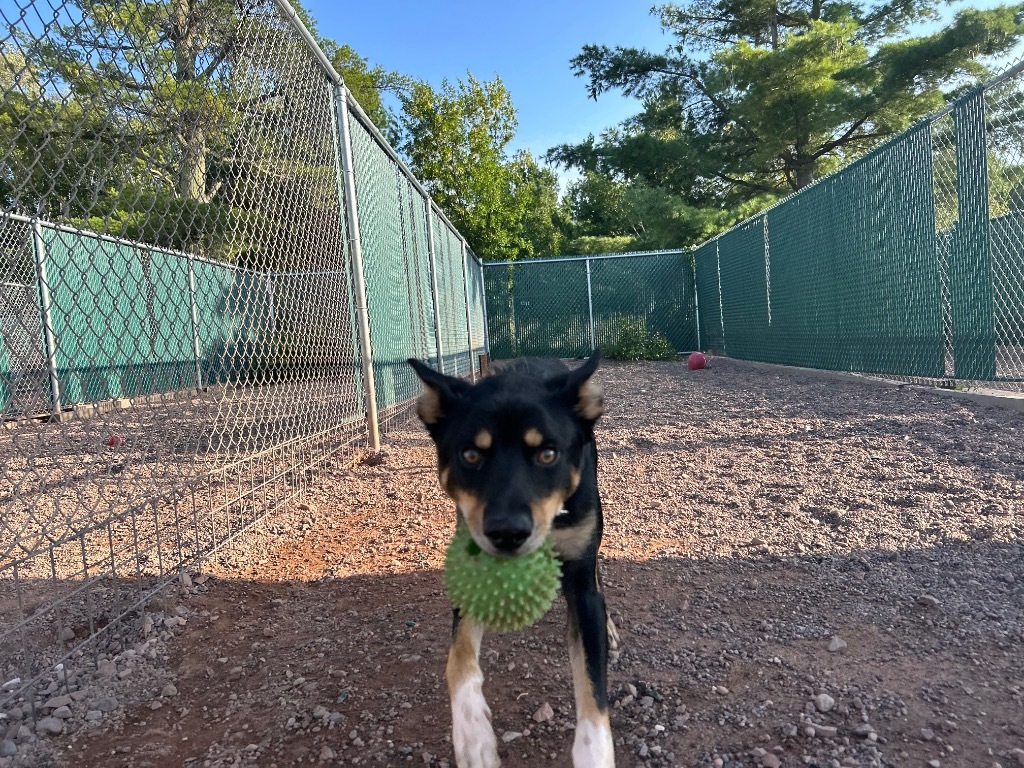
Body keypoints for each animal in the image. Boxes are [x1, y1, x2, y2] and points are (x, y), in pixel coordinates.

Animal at [407, 354, 614, 768]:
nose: (507, 533)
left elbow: (593, 684)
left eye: (547, 454)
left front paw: (594, 754)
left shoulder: (581, 582)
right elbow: (458, 660)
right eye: (471, 455)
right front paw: (473, 735)